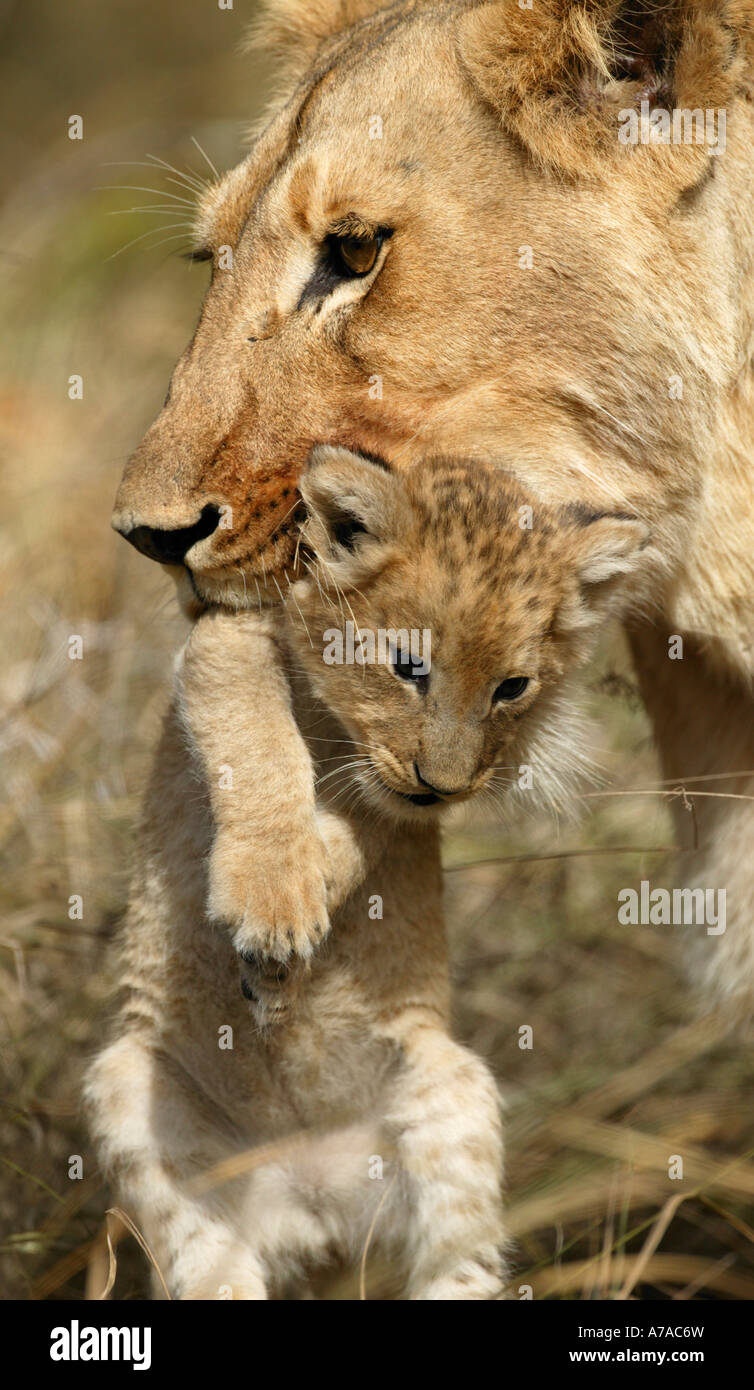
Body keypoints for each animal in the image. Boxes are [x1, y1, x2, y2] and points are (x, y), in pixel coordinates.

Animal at [87, 448, 651, 1297]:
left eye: (512, 687)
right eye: (409, 666)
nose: (443, 783)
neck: (335, 715)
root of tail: (313, 1203)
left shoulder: (407, 793)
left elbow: (366, 817)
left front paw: (295, 916)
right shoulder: (224, 640)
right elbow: (258, 743)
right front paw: (274, 912)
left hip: (450, 1097)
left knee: (455, 1264)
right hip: (138, 1104)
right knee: (214, 1269)